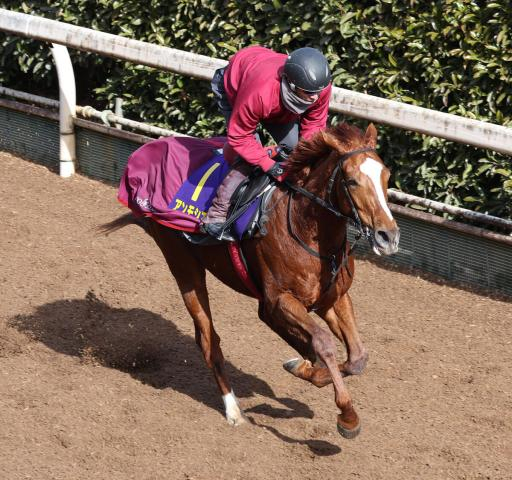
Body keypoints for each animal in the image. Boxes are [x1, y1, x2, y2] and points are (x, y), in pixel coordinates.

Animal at [101, 121, 400, 438]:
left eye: (386, 176)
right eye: (352, 181)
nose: (389, 236)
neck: (307, 229)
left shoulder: (333, 298)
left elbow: (357, 358)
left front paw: (303, 366)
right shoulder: (278, 300)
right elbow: (323, 344)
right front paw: (347, 416)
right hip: (183, 264)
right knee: (208, 340)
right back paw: (233, 409)